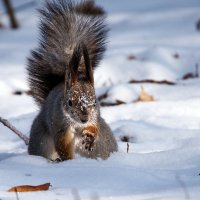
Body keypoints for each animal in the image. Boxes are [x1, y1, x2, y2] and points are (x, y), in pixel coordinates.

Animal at [26, 0, 117, 161]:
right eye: (69, 102)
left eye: (95, 102)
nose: (84, 119)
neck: (76, 124)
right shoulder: (60, 126)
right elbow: (63, 146)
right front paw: (70, 162)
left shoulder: (95, 117)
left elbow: (93, 128)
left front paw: (89, 137)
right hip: (41, 141)